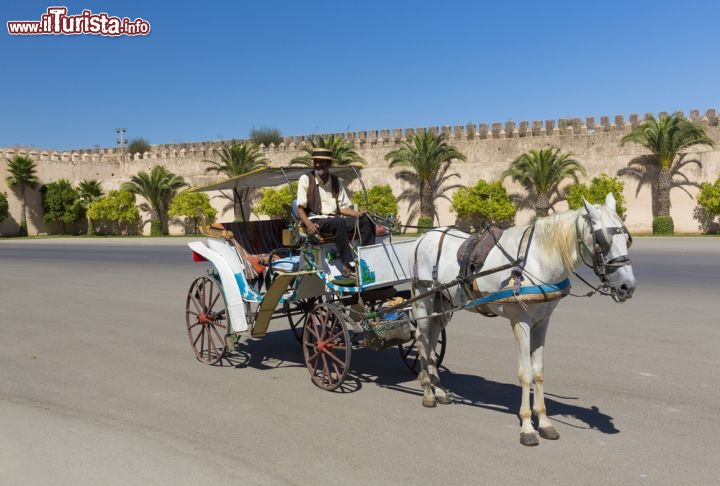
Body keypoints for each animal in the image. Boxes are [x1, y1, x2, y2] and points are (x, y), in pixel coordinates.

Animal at [410, 196, 636, 446]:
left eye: (627, 239)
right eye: (601, 240)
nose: (627, 286)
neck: (536, 261)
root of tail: (425, 237)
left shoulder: (542, 322)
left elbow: (538, 372)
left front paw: (545, 422)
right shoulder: (521, 321)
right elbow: (525, 373)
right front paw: (527, 426)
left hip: (443, 304)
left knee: (432, 340)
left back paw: (438, 390)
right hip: (424, 298)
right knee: (422, 340)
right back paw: (427, 392)